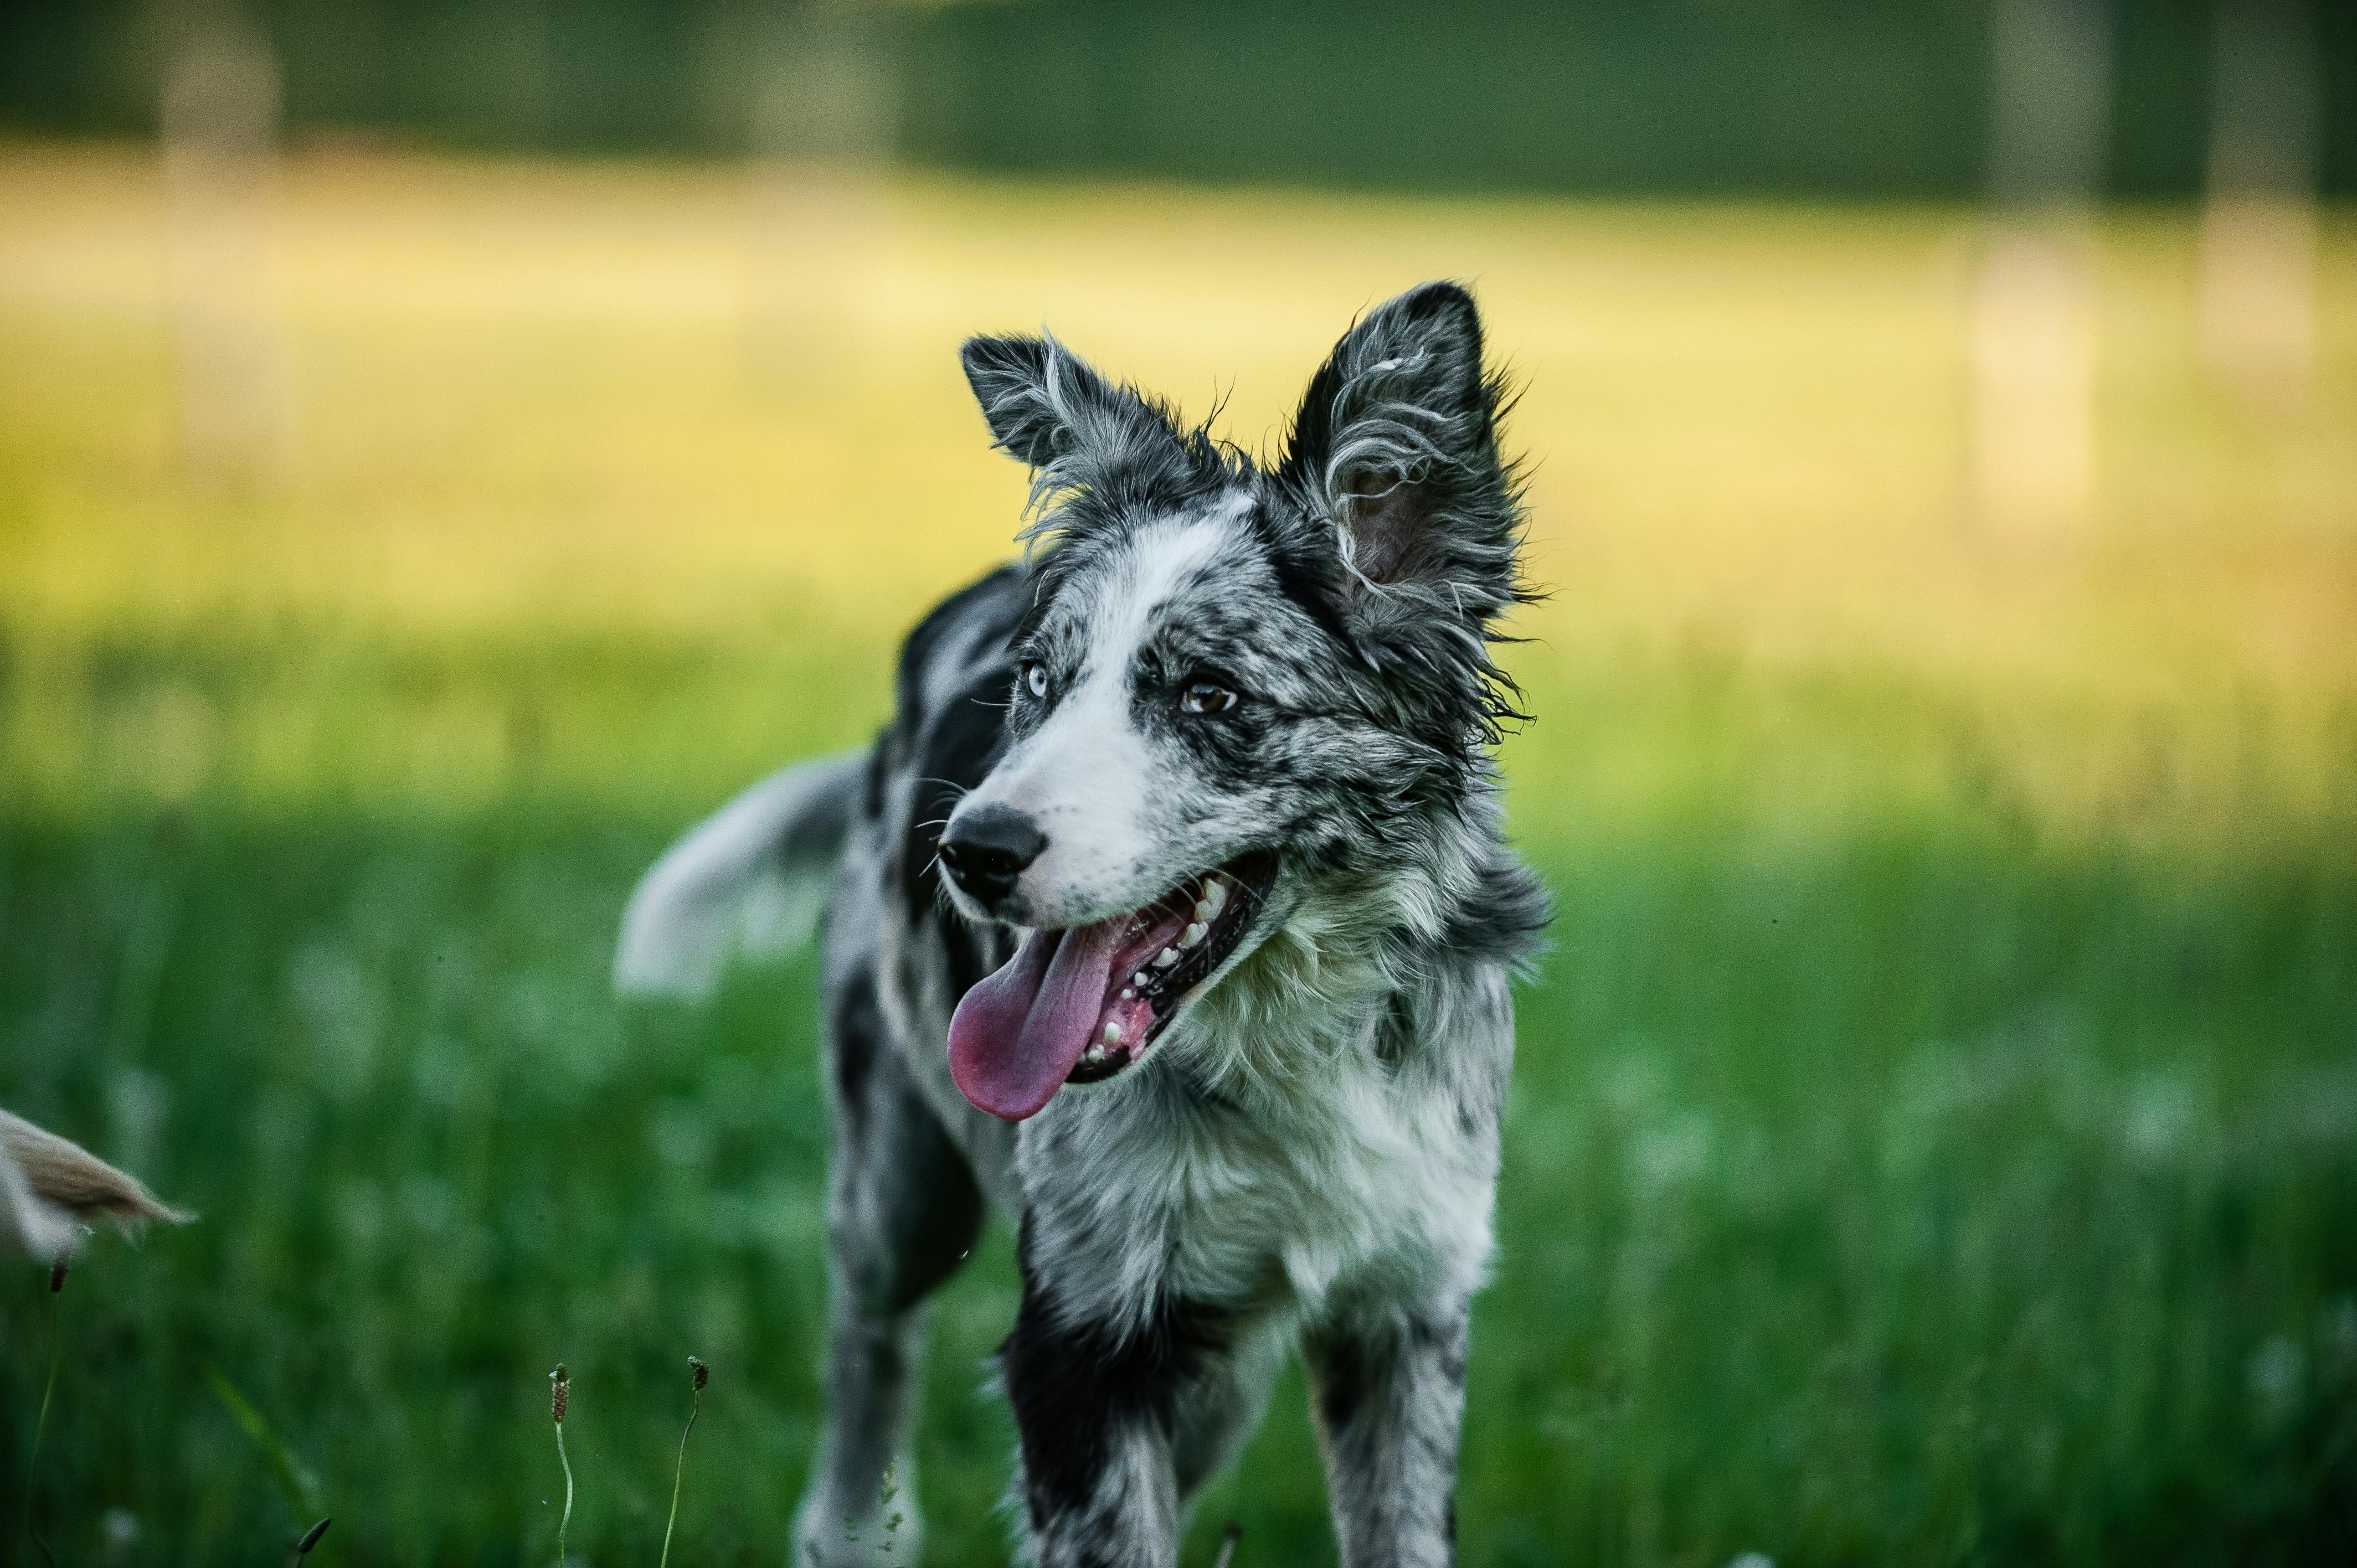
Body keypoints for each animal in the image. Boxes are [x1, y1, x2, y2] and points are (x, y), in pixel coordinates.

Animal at [617, 284, 1555, 1565]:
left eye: (1210, 695)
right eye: (1036, 684)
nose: (969, 851)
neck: (1282, 1047)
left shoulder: (1404, 1313)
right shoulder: (1081, 1338)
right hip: (896, 1183)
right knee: (868, 1342)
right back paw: (853, 1528)